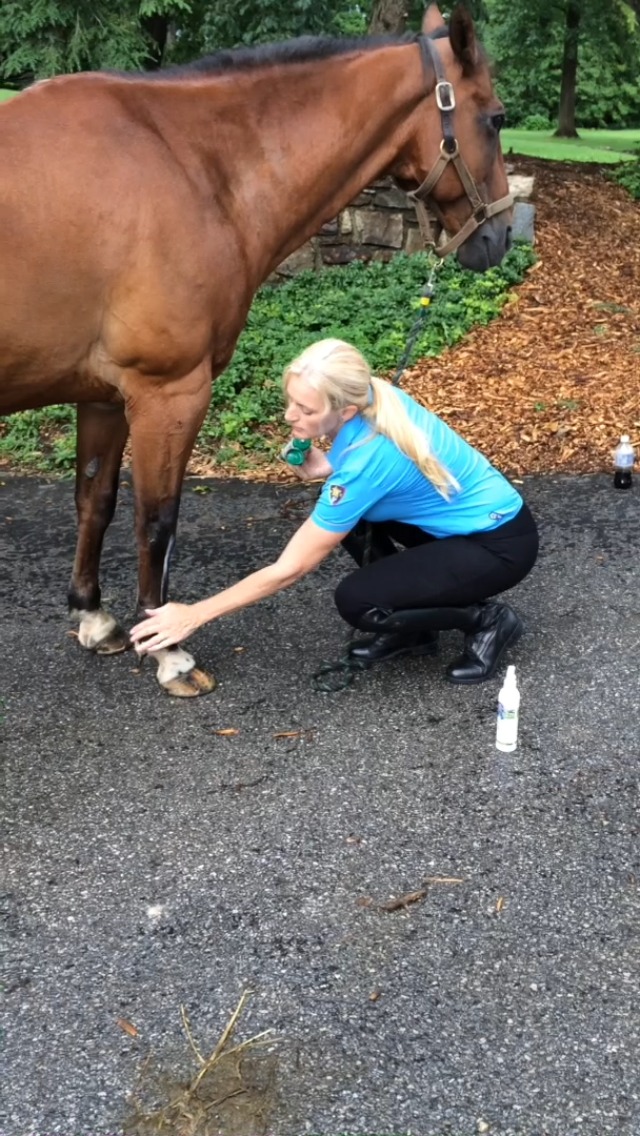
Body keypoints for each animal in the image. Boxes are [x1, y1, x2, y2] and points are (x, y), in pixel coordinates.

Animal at [0, 3, 513, 697]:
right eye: (495, 117)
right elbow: (156, 520)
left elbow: (95, 501)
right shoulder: (170, 393)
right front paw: (167, 648)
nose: (501, 235)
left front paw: (96, 619)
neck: (186, 164)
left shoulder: (103, 395)